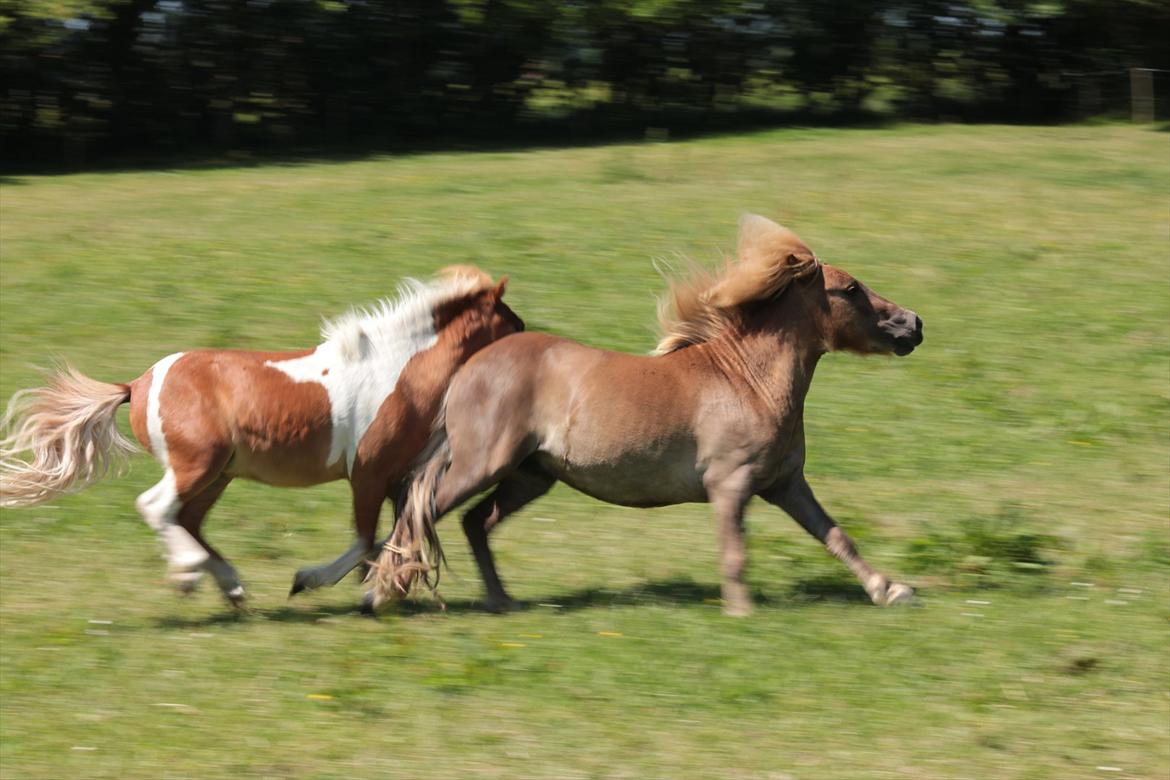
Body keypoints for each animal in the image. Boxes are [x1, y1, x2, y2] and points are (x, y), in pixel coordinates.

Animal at [0, 265, 521, 608]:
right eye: (512, 323)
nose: (529, 338)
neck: (397, 375)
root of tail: (137, 384)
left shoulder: (395, 476)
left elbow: (393, 535)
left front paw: (380, 587)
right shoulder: (368, 471)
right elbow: (365, 539)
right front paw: (307, 580)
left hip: (218, 476)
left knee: (186, 519)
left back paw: (229, 585)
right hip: (197, 466)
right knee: (156, 507)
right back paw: (188, 572)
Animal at [372, 216, 921, 612]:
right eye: (850, 289)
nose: (913, 323)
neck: (748, 381)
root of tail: (469, 368)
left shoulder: (785, 484)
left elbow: (836, 536)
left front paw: (890, 590)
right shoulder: (731, 485)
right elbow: (735, 553)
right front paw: (741, 611)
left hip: (530, 476)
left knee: (472, 522)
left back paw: (501, 601)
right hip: (481, 465)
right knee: (418, 512)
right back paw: (379, 594)